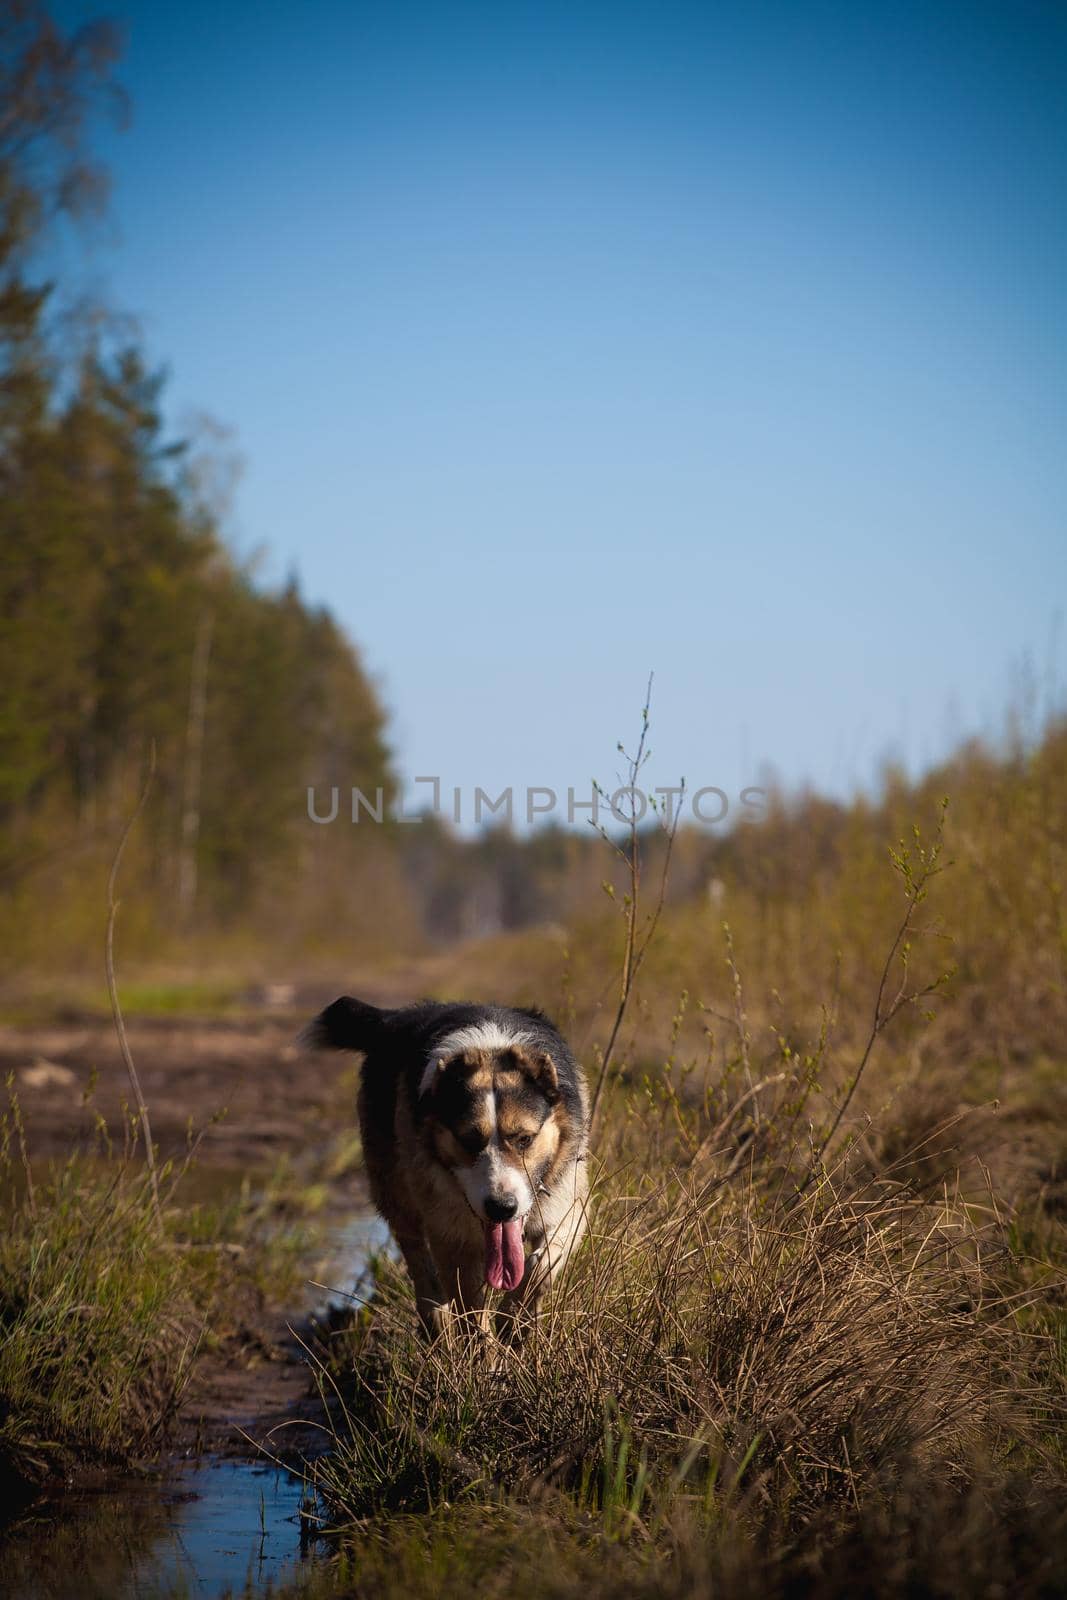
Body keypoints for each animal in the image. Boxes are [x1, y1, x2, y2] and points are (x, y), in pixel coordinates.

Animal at [302, 992, 591, 1331]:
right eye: (468, 1140)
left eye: (524, 1139)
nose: (501, 1208)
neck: (491, 1049)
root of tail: (394, 1019)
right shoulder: (452, 1233)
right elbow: (470, 1304)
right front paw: (484, 1342)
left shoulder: (569, 1206)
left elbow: (541, 1267)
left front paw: (513, 1320)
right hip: (395, 1189)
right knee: (415, 1252)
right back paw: (435, 1317)